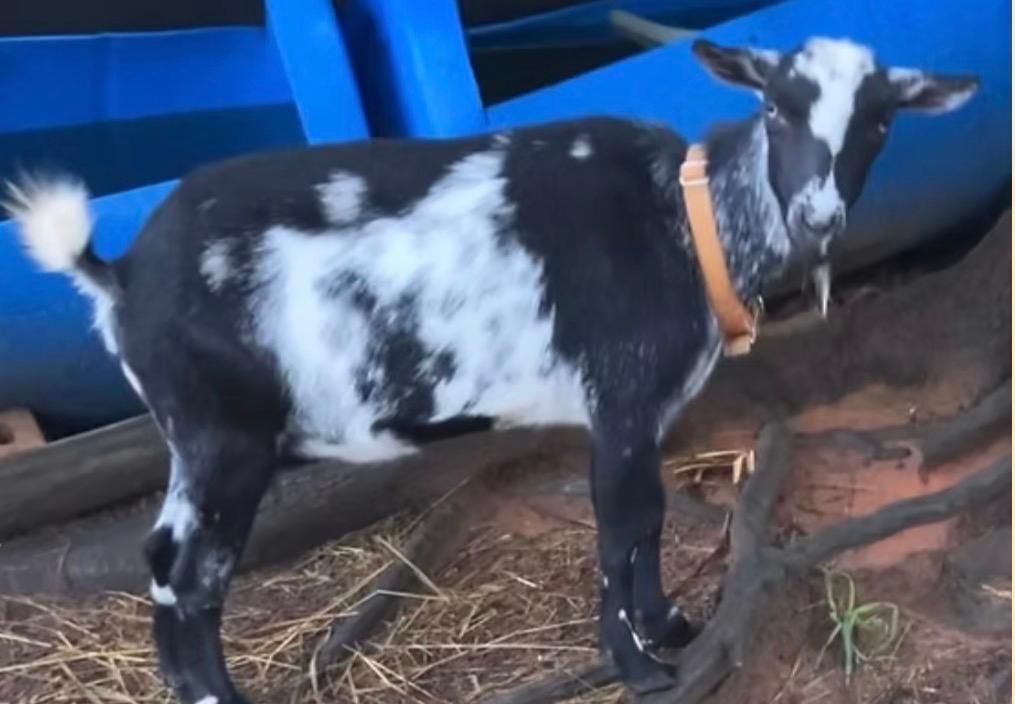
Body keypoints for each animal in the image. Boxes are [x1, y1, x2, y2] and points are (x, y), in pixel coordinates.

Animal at [7, 36, 977, 703]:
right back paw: (219, 696)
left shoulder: (649, 409)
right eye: (775, 106)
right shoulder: (618, 399)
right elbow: (620, 527)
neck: (688, 221)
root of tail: (117, 273)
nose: (817, 217)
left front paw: (668, 623)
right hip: (222, 433)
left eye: (880, 119)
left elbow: (652, 520)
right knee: (184, 569)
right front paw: (638, 666)